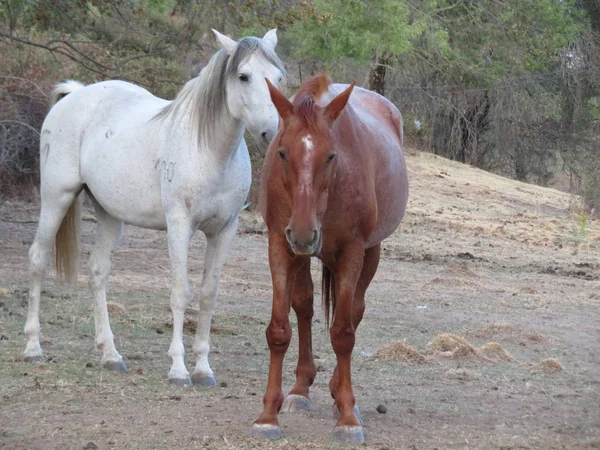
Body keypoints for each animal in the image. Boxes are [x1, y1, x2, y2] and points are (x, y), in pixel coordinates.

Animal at [22, 29, 284, 386]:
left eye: (278, 77)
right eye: (243, 76)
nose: (272, 132)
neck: (208, 151)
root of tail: (74, 96)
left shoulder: (225, 230)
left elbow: (208, 294)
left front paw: (203, 369)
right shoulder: (179, 225)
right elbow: (180, 293)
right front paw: (179, 370)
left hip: (109, 214)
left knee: (98, 272)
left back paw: (111, 355)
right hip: (56, 198)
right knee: (38, 260)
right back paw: (33, 348)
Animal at [251, 74, 410, 442]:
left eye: (331, 156)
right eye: (282, 152)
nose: (304, 233)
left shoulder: (352, 250)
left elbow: (343, 333)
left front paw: (348, 417)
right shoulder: (280, 245)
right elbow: (279, 329)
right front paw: (268, 415)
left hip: (369, 253)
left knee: (353, 312)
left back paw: (341, 397)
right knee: (305, 306)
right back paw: (300, 390)